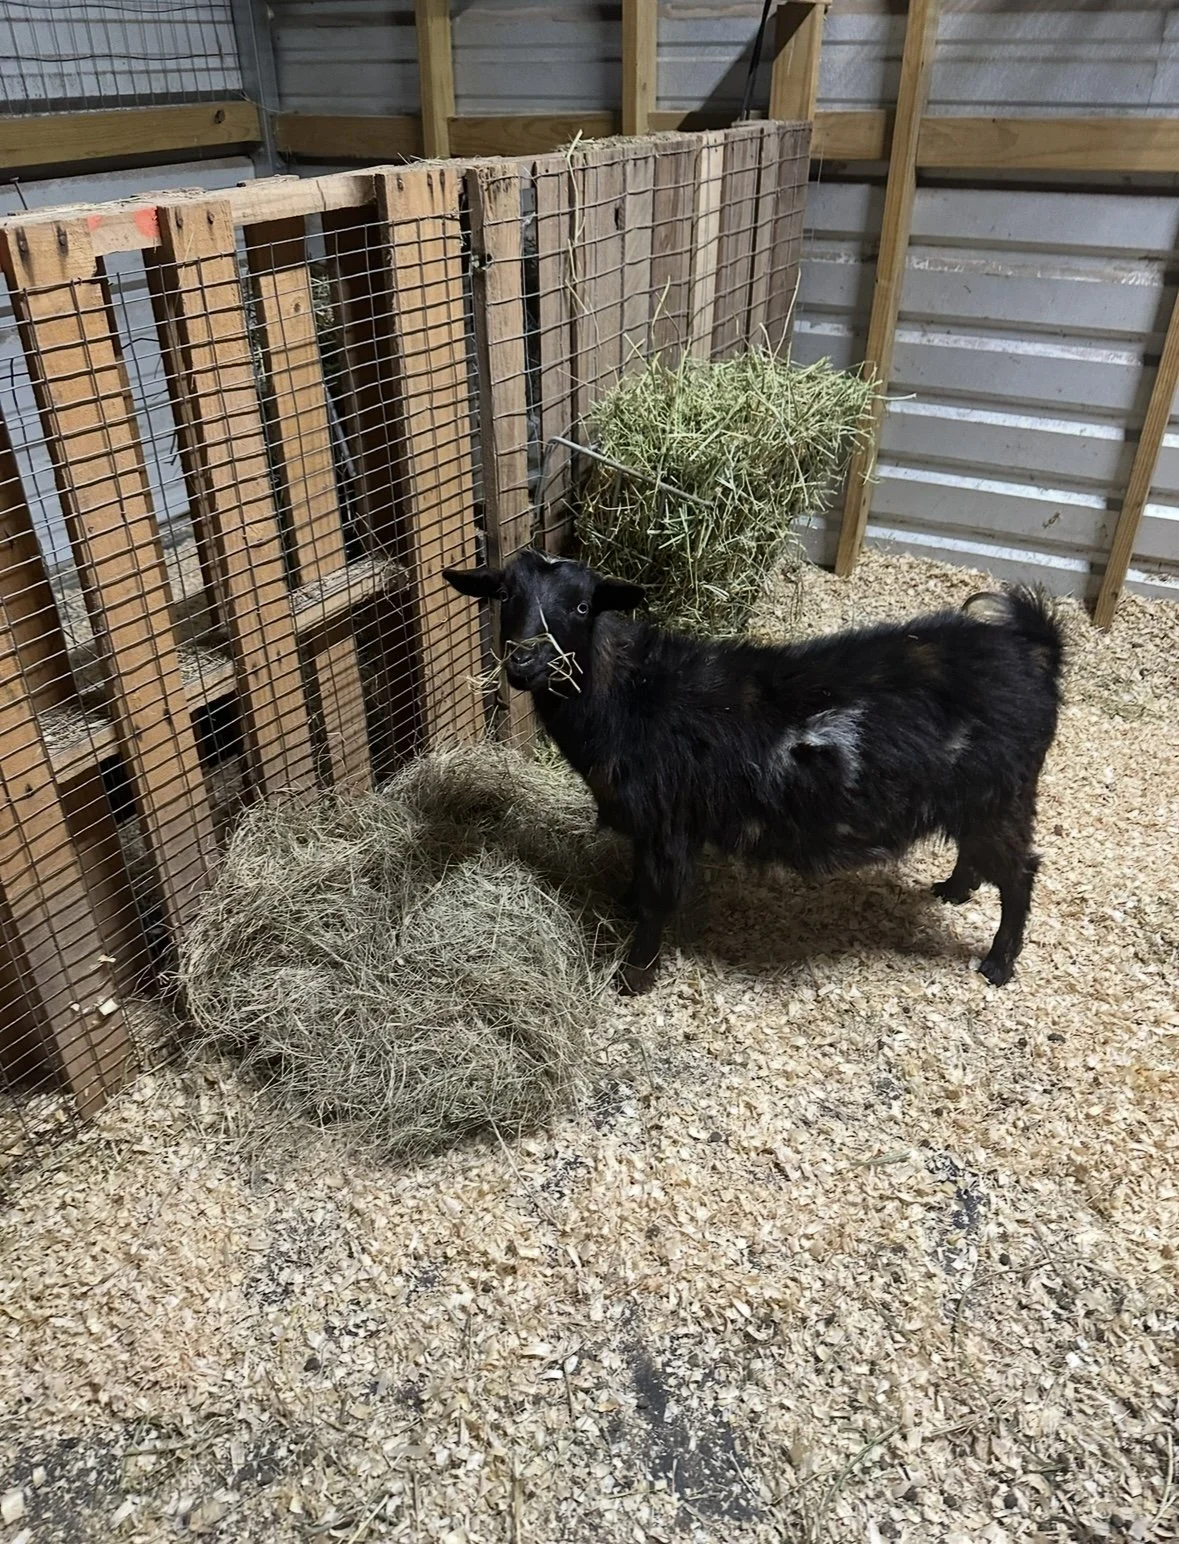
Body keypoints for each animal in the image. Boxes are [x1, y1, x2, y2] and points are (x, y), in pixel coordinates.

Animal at [444, 551, 1064, 995]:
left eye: (580, 608)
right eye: (504, 594)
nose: (524, 661)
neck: (628, 695)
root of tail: (1036, 651)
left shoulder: (668, 823)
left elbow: (658, 898)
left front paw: (635, 976)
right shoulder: (649, 825)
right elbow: (639, 881)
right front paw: (623, 907)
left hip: (1002, 794)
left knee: (1021, 873)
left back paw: (997, 962)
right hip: (978, 798)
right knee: (977, 853)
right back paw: (954, 892)